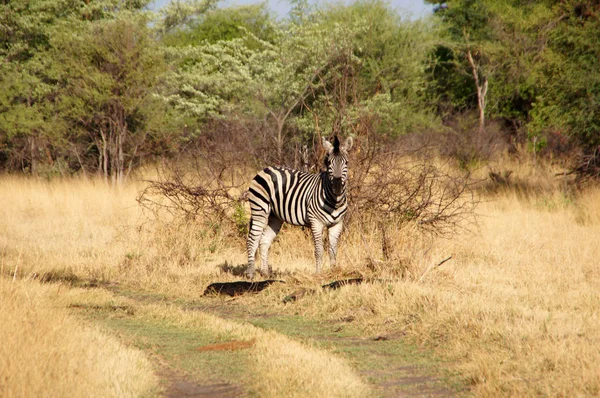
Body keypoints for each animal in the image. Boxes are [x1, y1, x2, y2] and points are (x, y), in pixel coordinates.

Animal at [246, 137, 354, 280]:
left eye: (346, 163)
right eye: (328, 163)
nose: (337, 187)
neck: (334, 200)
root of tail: (266, 169)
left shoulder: (337, 224)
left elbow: (333, 250)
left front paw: (333, 272)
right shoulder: (316, 222)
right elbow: (319, 250)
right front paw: (318, 274)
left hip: (275, 216)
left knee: (264, 241)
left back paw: (265, 273)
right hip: (259, 209)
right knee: (253, 239)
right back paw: (250, 274)